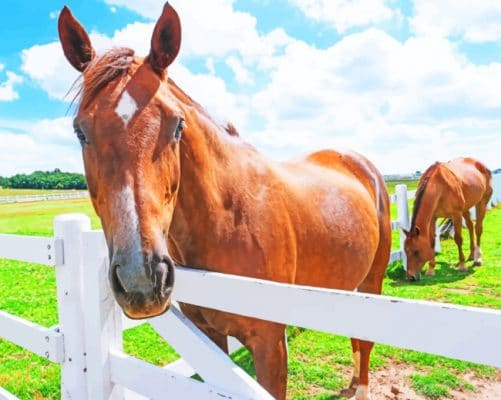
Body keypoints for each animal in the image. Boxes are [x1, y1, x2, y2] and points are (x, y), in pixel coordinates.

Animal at [57, 3, 390, 400]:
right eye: (80, 131)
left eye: (177, 125)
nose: (141, 280)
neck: (229, 218)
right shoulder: (210, 338)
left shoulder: (270, 344)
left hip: (373, 280)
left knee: (365, 341)